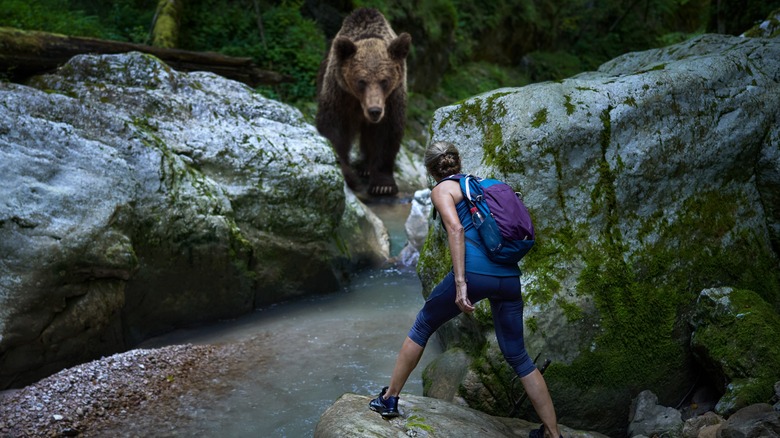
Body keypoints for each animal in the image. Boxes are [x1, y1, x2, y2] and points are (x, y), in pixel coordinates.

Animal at [314, 8, 412, 197]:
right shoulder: (340, 93)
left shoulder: (392, 99)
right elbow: (334, 129)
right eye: (361, 81)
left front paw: (383, 185)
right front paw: (348, 175)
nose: (374, 110)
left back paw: (366, 168)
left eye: (384, 81)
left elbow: (386, 133)